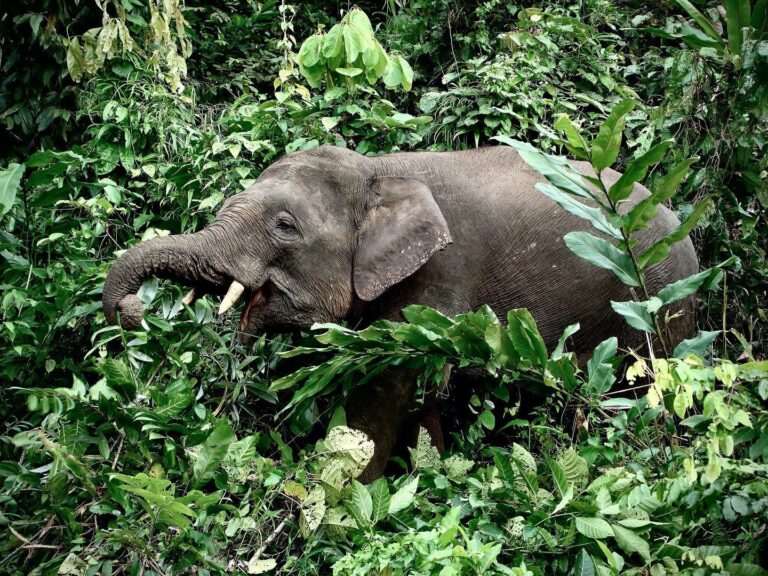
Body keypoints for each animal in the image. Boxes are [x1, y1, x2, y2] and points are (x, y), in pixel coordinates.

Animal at [102, 145, 698, 480]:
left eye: (285, 226)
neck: (378, 172)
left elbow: (386, 386)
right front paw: (423, 475)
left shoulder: (439, 274)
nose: (132, 308)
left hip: (663, 304)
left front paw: (346, 501)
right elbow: (418, 396)